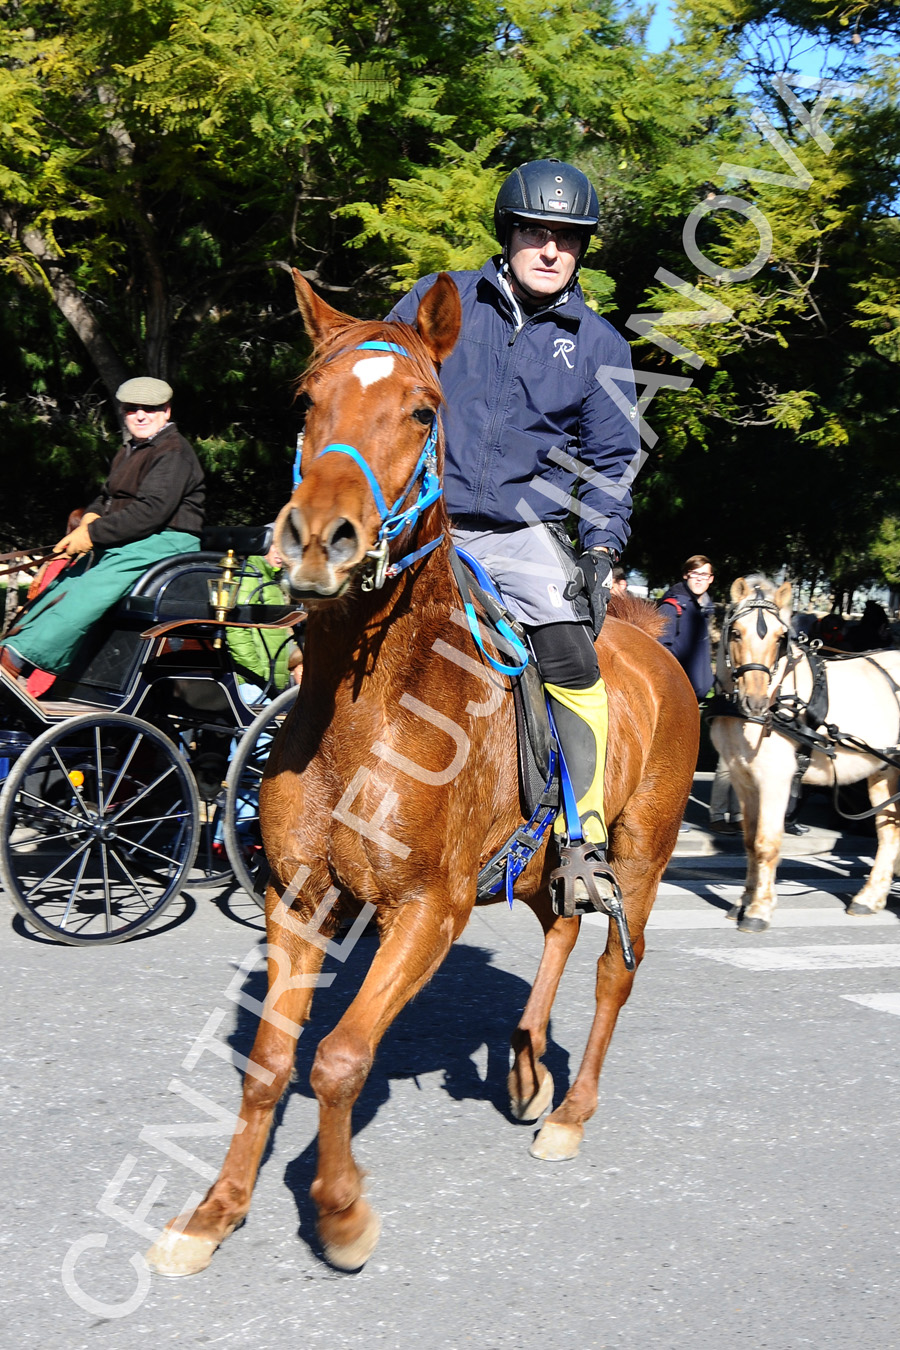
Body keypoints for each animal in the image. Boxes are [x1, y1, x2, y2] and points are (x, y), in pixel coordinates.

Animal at [146, 268, 696, 1269]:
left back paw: (570, 1112)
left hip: (642, 855)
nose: (317, 537)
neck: (365, 709)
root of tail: (656, 646)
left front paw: (340, 1212)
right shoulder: (300, 903)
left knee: (611, 972)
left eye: (421, 408)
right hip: (539, 861)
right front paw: (213, 1213)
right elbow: (269, 1065)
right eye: (306, 400)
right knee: (559, 926)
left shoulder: (426, 911)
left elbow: (338, 1059)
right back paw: (524, 1061)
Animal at [712, 575, 900, 934]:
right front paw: (743, 901)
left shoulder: (776, 779)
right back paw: (869, 898)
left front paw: (759, 909)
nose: (756, 702)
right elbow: (749, 842)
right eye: (736, 632)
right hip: (884, 771)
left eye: (780, 637)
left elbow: (766, 843)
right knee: (888, 832)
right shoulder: (744, 778)